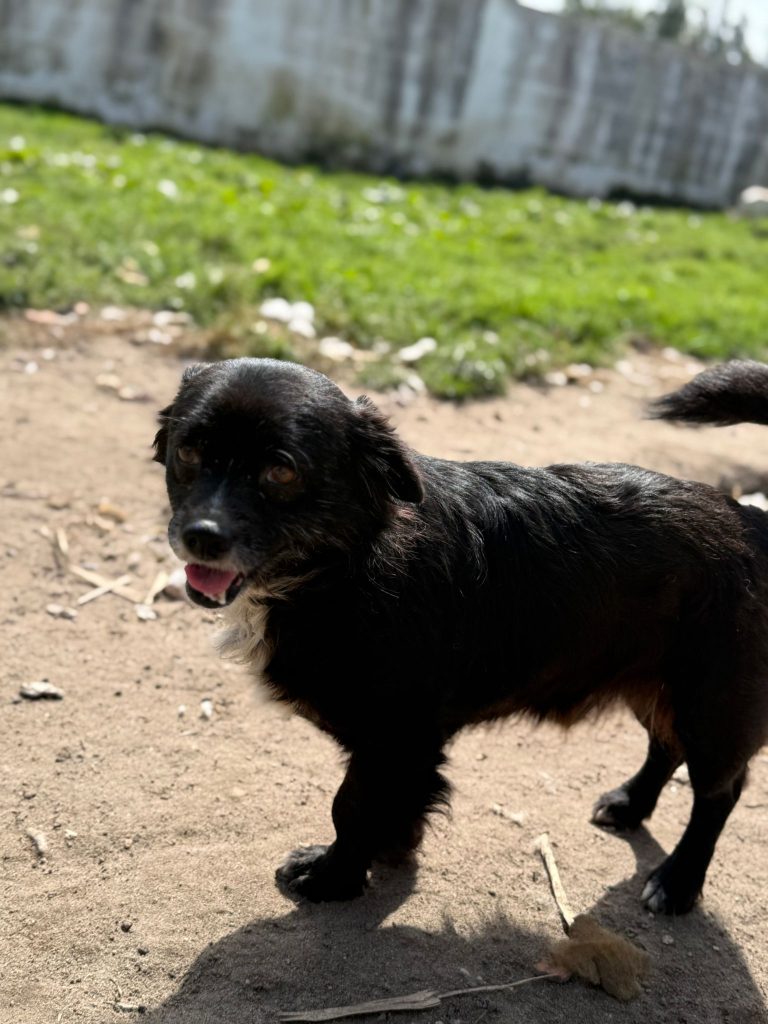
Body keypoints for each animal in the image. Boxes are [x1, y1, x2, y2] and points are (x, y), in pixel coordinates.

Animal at [154, 357, 768, 914]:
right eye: (188, 452)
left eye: (281, 471)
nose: (202, 536)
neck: (347, 566)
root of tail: (750, 517)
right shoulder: (401, 745)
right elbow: (390, 802)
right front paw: (392, 847)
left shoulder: (395, 735)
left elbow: (351, 807)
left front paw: (335, 877)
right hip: (656, 684)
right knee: (664, 747)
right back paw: (629, 804)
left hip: (711, 707)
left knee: (720, 792)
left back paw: (679, 882)